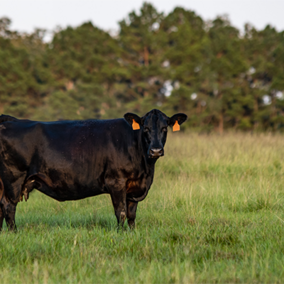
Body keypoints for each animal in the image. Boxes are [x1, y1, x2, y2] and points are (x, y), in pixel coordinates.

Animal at [0, 109, 187, 231]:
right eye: (145, 128)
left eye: (164, 128)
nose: (156, 150)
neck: (145, 168)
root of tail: (9, 120)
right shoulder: (116, 181)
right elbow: (121, 212)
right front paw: (121, 234)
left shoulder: (134, 186)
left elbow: (132, 215)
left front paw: (133, 233)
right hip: (13, 179)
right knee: (8, 206)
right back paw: (14, 232)